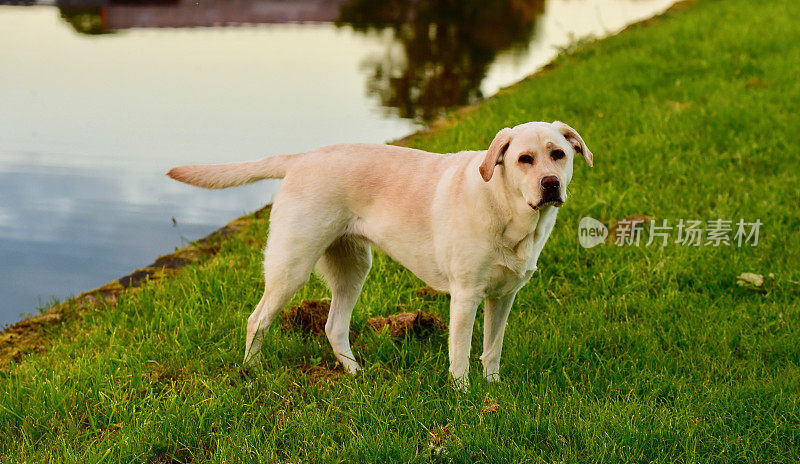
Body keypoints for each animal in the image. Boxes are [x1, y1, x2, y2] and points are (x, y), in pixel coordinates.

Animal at [169, 120, 592, 388]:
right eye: (524, 159)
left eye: (558, 154)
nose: (550, 184)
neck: (509, 210)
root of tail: (302, 157)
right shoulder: (466, 296)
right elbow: (460, 354)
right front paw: (464, 397)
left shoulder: (503, 297)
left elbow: (492, 349)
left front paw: (493, 387)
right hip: (292, 266)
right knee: (257, 320)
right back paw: (253, 371)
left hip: (354, 268)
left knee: (333, 326)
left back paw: (354, 374)